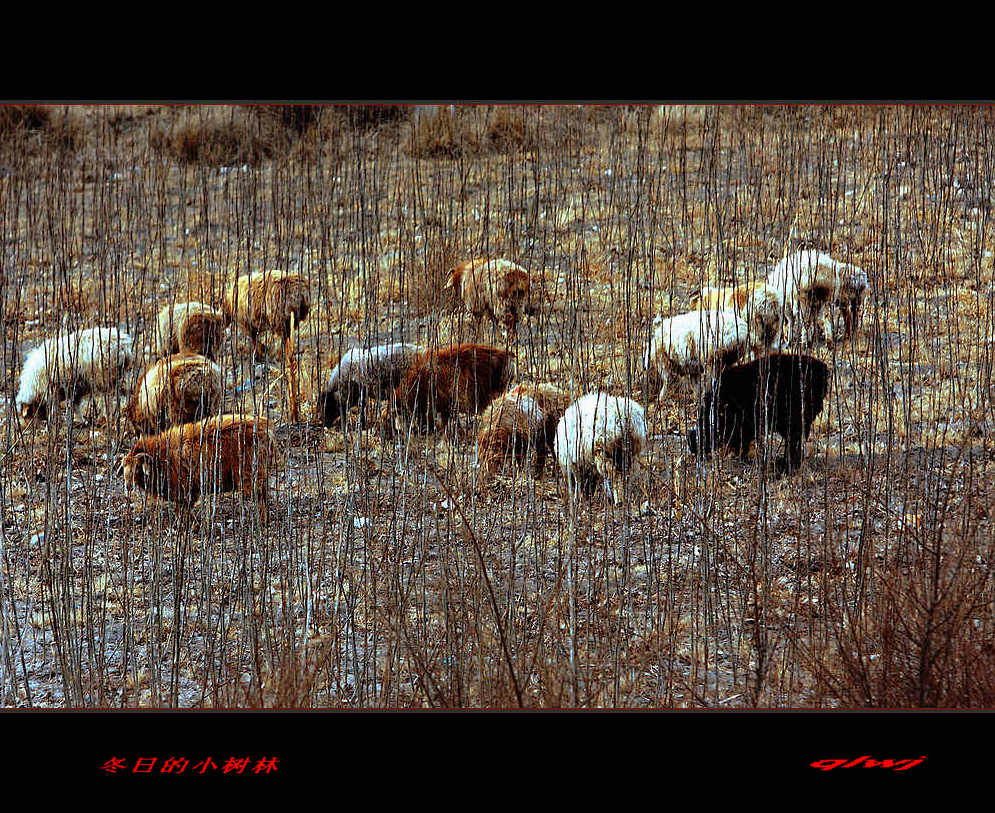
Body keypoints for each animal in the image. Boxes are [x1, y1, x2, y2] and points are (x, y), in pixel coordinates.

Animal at [123, 412, 284, 520]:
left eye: (136, 468)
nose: (127, 487)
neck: (162, 457)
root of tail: (267, 429)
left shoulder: (185, 490)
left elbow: (183, 511)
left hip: (251, 476)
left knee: (260, 499)